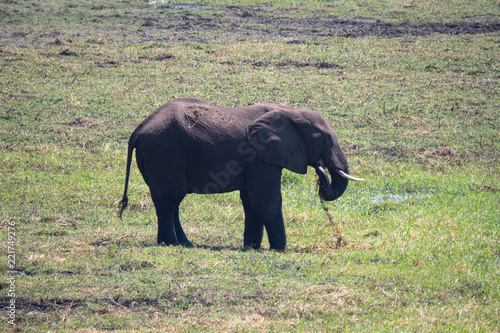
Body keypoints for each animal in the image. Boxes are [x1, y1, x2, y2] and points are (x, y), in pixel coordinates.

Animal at [120, 98, 364, 249]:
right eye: (325, 140)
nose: (321, 171)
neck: (289, 112)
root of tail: (137, 131)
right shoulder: (258, 156)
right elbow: (266, 199)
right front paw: (280, 248)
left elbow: (250, 200)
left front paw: (251, 247)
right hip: (164, 153)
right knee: (170, 199)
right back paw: (169, 243)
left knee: (173, 202)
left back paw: (186, 244)